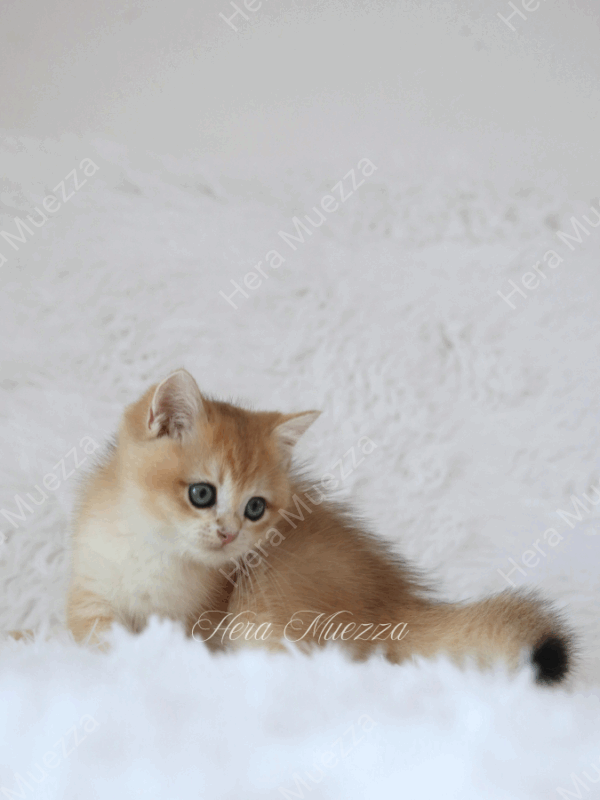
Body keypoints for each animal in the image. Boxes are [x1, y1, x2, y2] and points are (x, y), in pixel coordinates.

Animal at [66, 369, 572, 684]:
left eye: (255, 508)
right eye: (202, 494)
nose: (230, 534)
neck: (153, 550)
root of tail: (398, 599)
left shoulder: (197, 619)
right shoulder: (91, 590)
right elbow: (97, 635)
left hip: (263, 608)